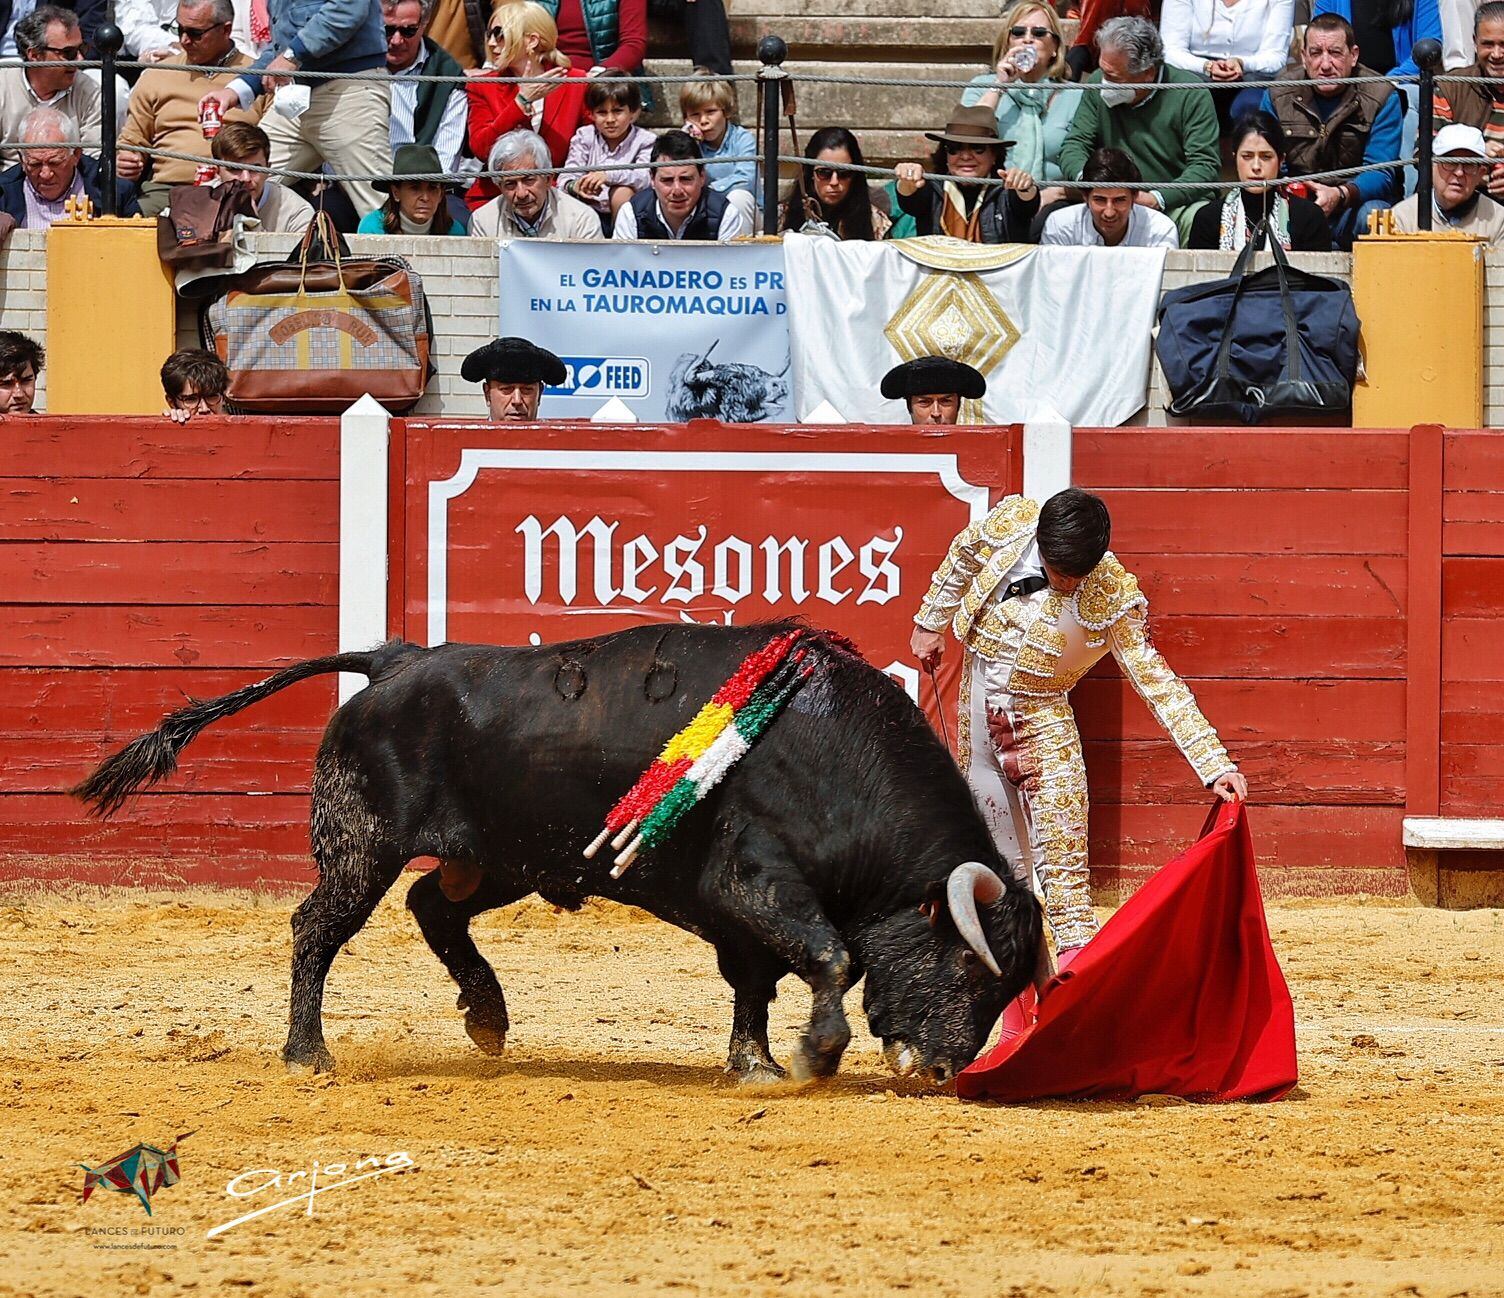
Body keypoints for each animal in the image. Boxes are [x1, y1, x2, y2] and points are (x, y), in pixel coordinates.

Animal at [79, 625, 1046, 1088]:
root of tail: (396, 660)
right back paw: (306, 1054)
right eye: (968, 968)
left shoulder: (738, 908)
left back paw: (488, 1018)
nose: (945, 1068)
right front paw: (813, 1056)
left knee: (432, 908)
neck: (831, 750)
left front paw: (757, 1063)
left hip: (500, 859)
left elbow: (757, 983)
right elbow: (829, 956)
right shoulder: (756, 880)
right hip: (361, 846)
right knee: (316, 928)